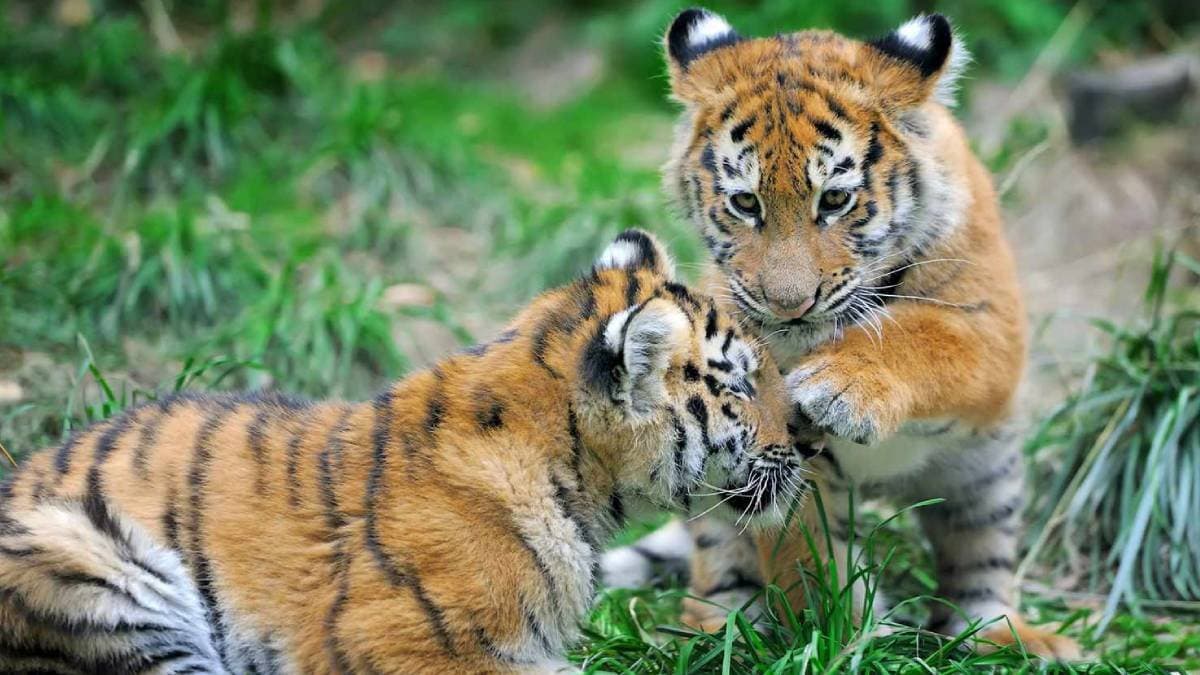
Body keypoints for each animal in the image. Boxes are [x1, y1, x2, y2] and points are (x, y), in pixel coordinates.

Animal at [601, 8, 1080, 659]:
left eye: (834, 199)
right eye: (745, 203)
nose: (788, 305)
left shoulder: (992, 323)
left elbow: (923, 339)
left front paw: (843, 385)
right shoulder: (778, 456)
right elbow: (804, 554)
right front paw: (829, 638)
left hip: (988, 474)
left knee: (979, 568)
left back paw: (1007, 638)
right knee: (720, 564)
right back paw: (726, 631)